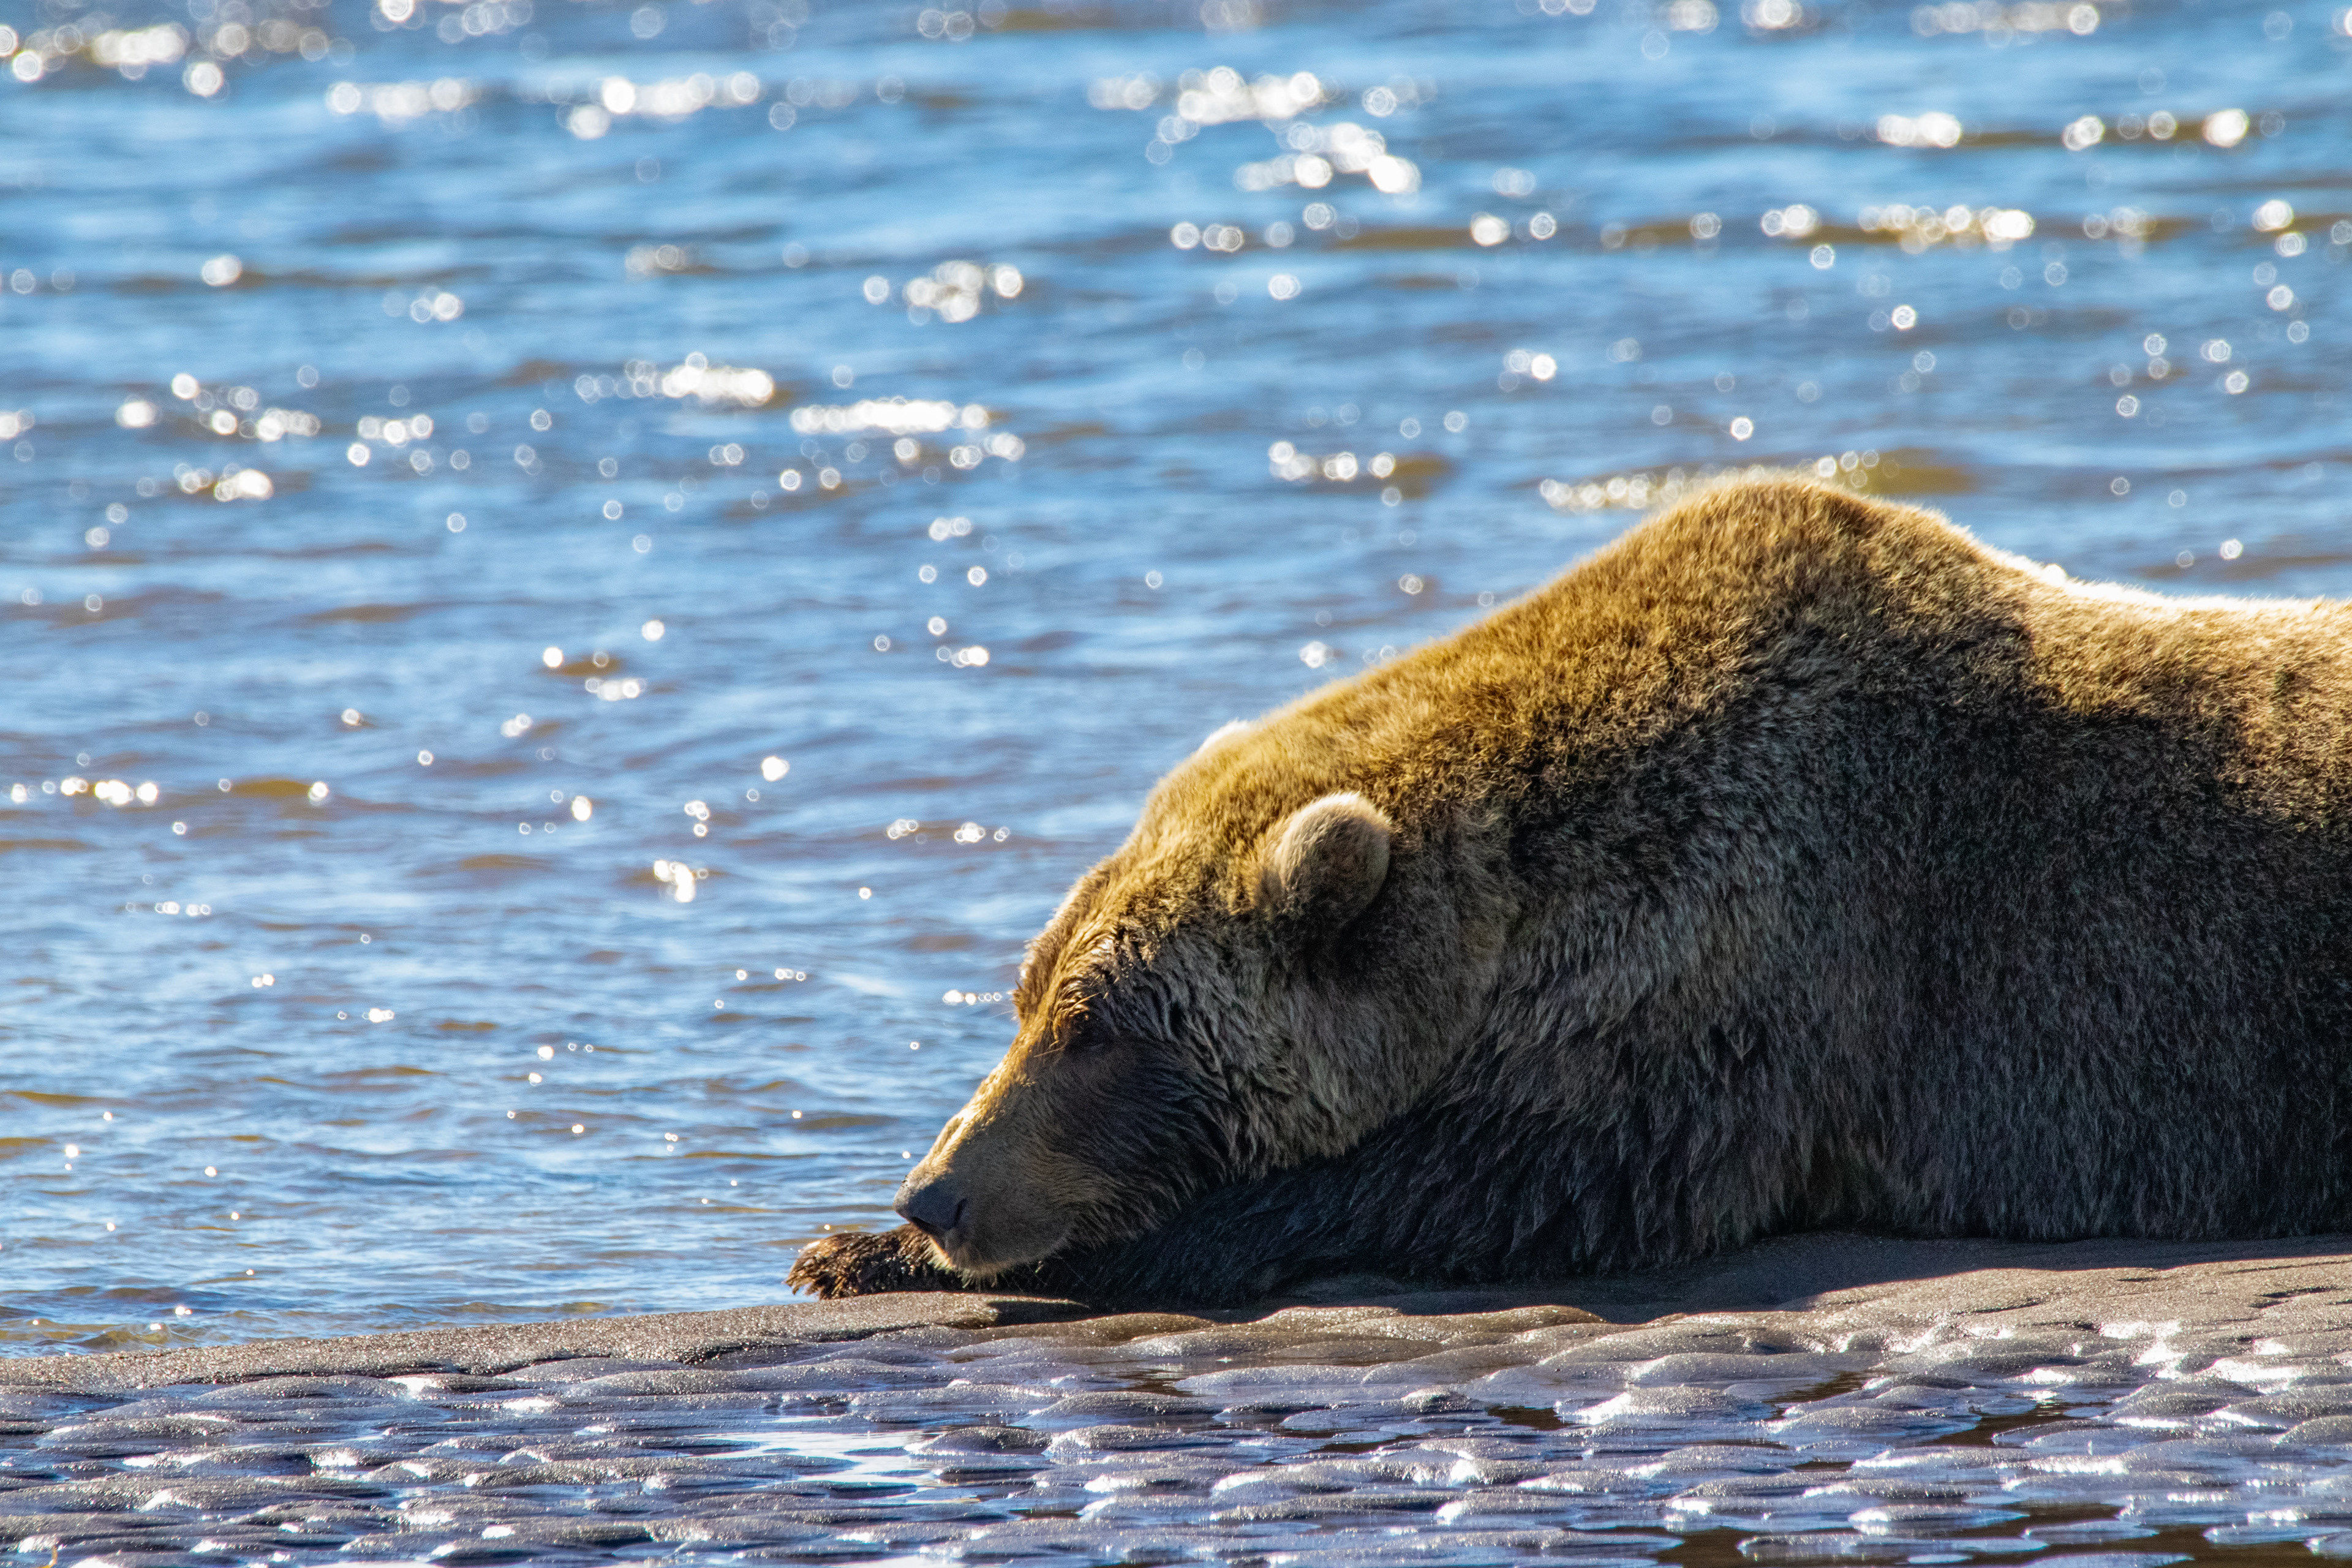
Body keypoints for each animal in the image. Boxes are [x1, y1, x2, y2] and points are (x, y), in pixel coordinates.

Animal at [788, 475, 2352, 1305]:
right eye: (1026, 996)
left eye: (1098, 1025)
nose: (936, 1186)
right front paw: (855, 1238)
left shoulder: (1725, 983)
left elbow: (1470, 1185)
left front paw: (869, 1250)